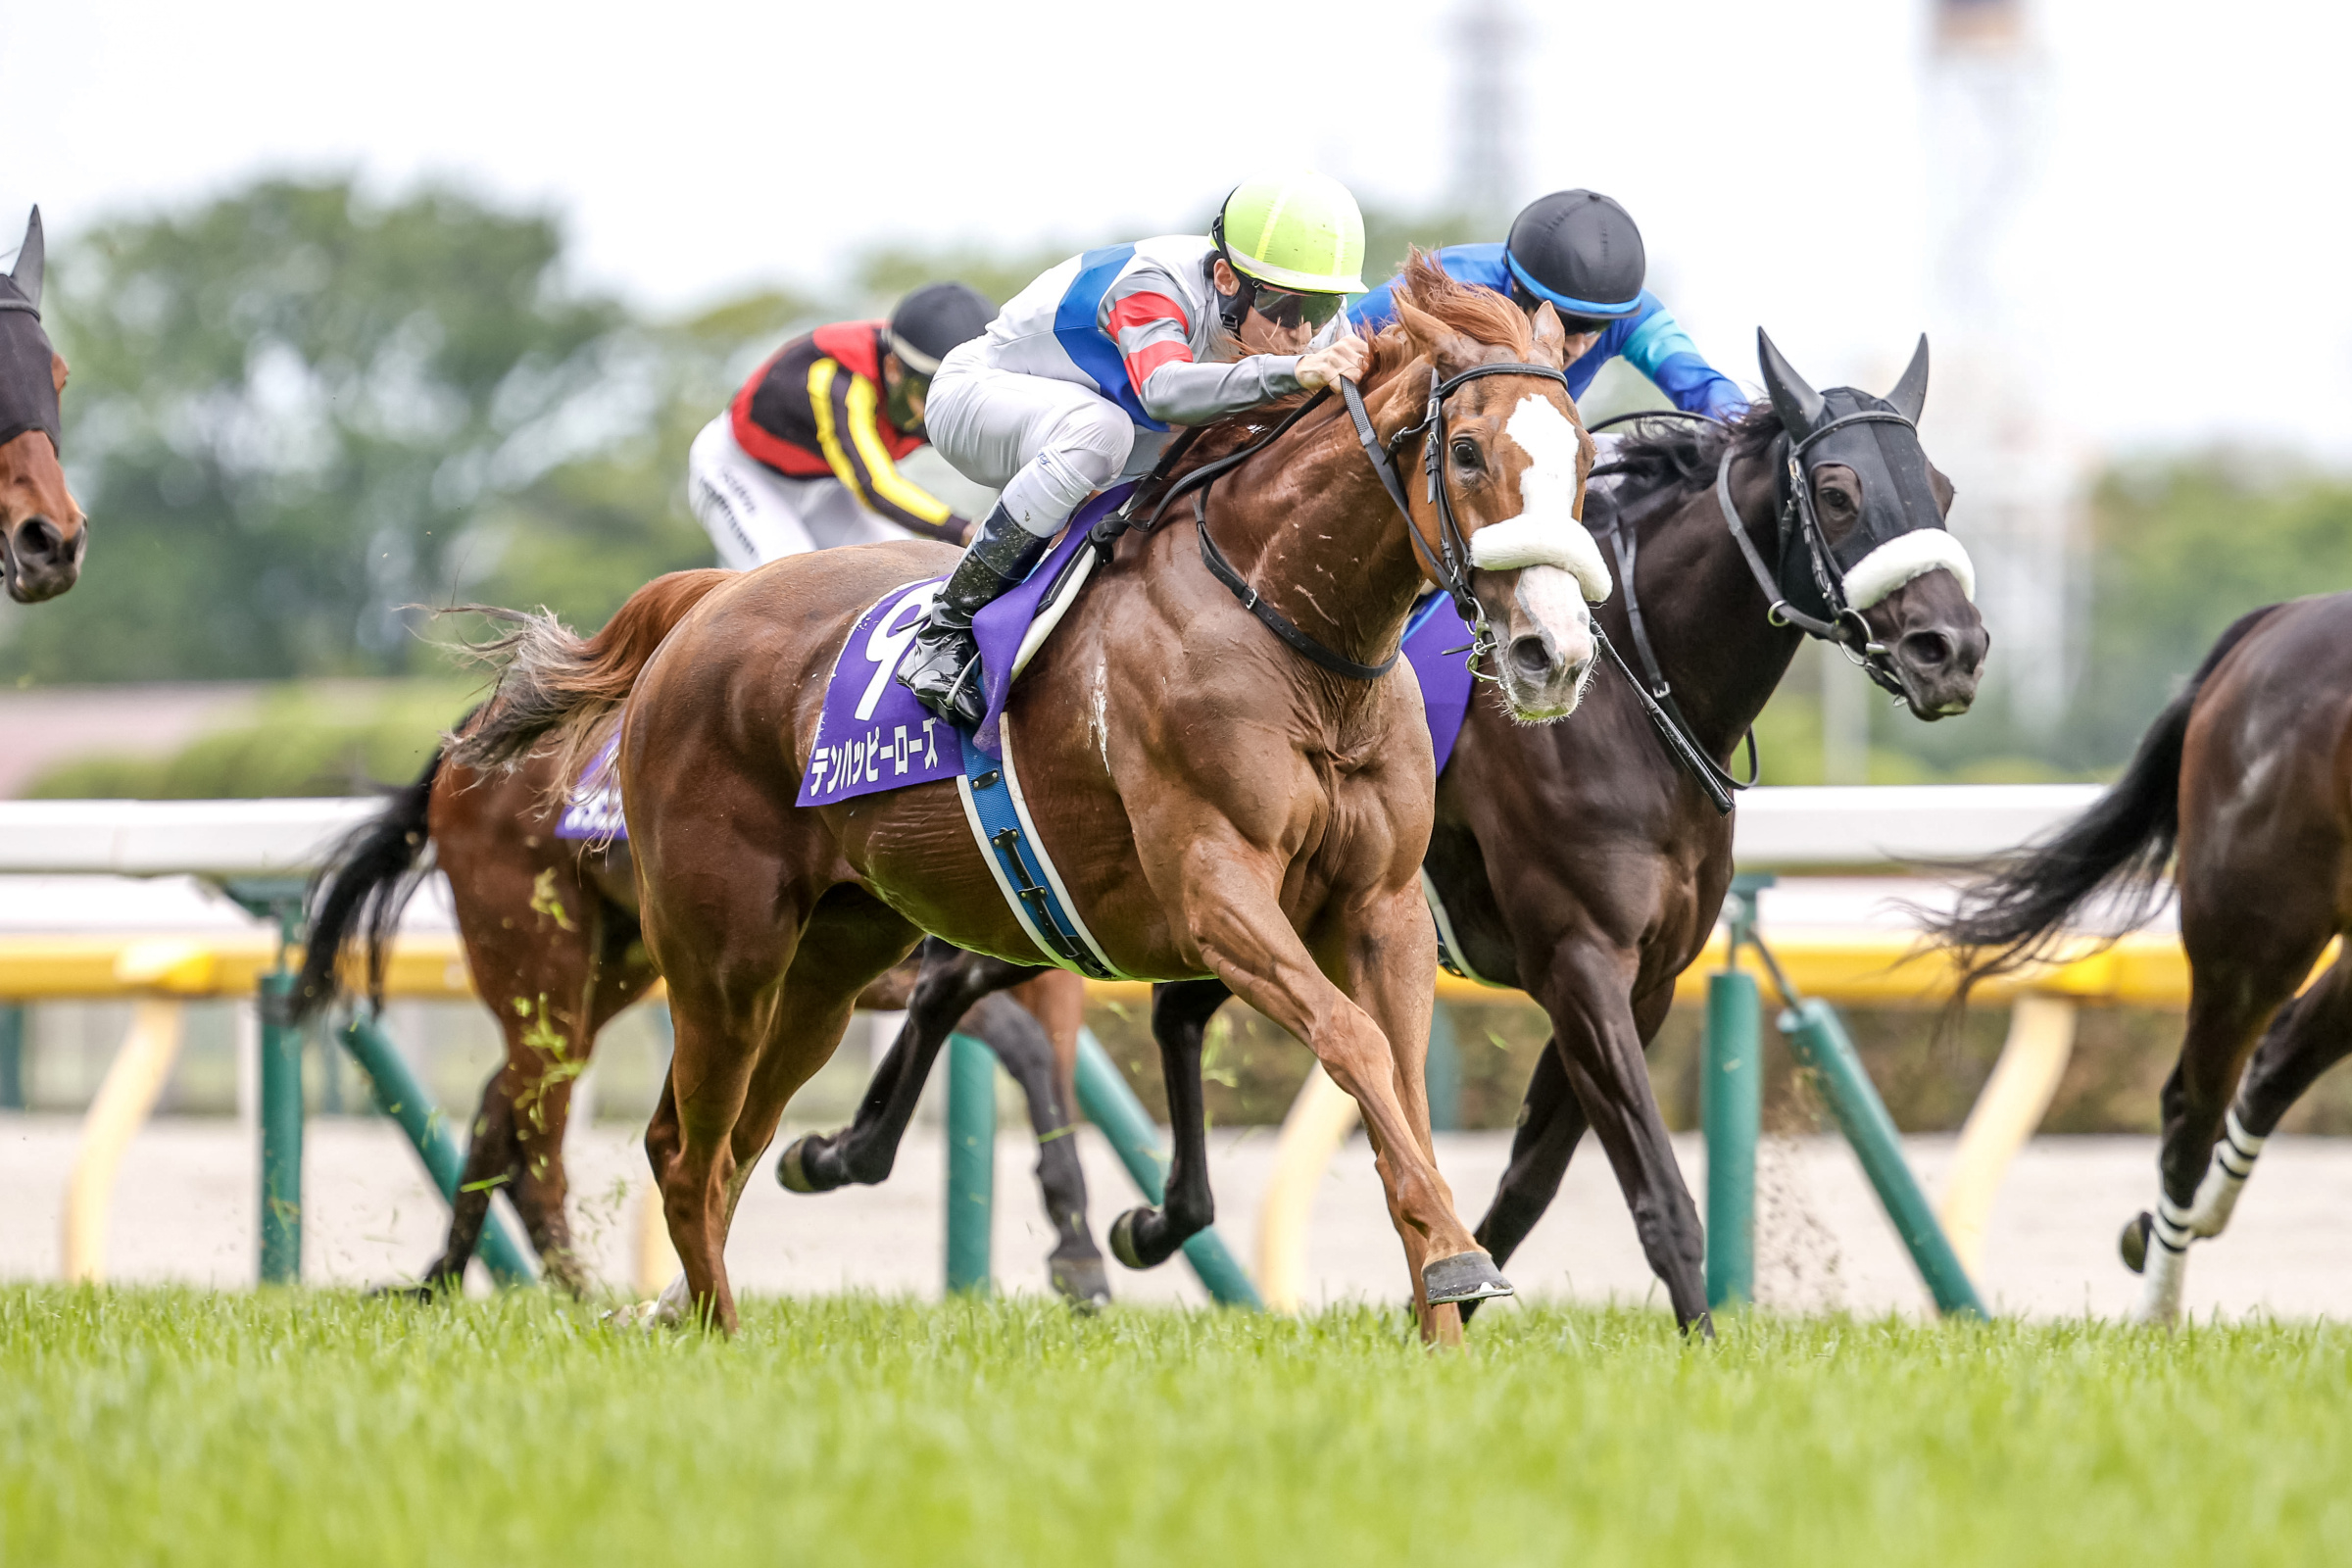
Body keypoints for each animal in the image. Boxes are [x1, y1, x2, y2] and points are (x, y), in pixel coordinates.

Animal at [298, 570, 1105, 1306]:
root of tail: (468, 734)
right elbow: (1016, 1041)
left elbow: (1032, 1046)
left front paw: (1081, 1247)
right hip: (536, 950)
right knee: (537, 1117)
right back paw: (558, 1286)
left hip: (614, 968)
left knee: (506, 1102)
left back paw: (450, 1279)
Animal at [451, 261, 1608, 1335]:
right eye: (1469, 452)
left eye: (1586, 463)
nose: (1553, 653)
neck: (1291, 631)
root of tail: (705, 605)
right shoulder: (1217, 892)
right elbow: (1354, 1043)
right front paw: (1457, 1265)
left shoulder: (1381, 907)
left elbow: (1399, 1083)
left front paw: (1444, 1308)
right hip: (712, 947)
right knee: (675, 1144)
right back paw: (714, 1331)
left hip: (827, 963)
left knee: (732, 1137)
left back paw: (687, 1307)